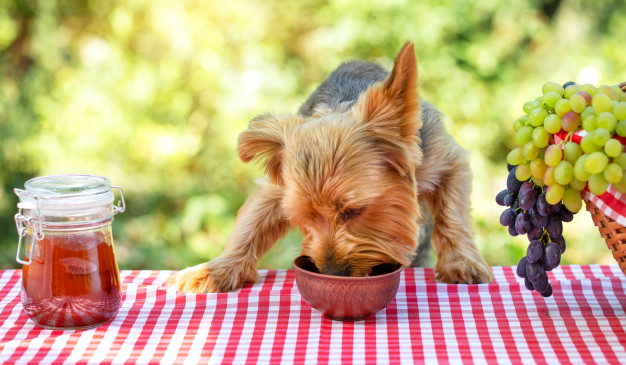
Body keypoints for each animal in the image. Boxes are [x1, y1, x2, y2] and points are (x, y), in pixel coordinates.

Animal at [169, 41, 492, 292]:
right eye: (304, 218)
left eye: (354, 211)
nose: (333, 273)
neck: (342, 105)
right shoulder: (278, 187)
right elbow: (251, 223)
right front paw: (218, 270)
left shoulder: (448, 161)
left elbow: (452, 215)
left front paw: (462, 263)